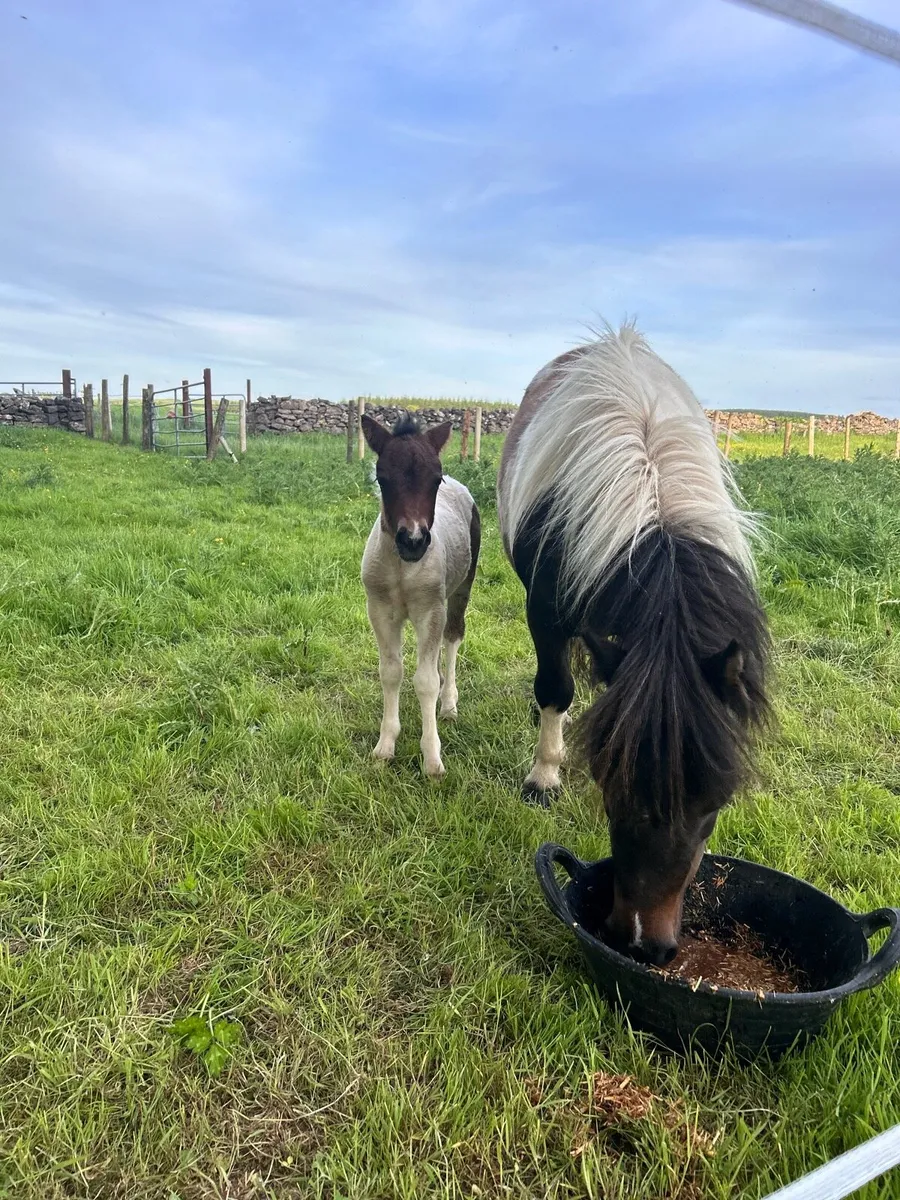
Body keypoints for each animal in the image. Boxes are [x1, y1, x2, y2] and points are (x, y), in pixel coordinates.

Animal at [361, 413, 481, 778]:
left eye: (435, 479)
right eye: (382, 479)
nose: (413, 540)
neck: (403, 567)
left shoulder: (431, 609)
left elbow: (425, 681)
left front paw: (432, 759)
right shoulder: (380, 610)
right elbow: (392, 672)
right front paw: (385, 746)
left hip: (460, 590)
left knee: (453, 636)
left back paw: (449, 703)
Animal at [498, 324, 771, 966]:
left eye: (714, 804)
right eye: (611, 788)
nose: (645, 943)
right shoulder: (545, 611)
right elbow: (555, 686)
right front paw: (544, 778)